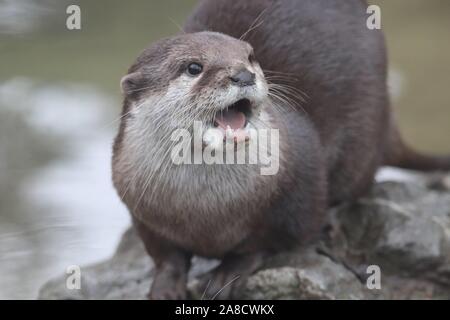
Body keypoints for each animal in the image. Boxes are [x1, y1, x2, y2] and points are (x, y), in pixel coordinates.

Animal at [111, 0, 446, 300]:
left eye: (250, 56)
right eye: (194, 67)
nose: (244, 74)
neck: (206, 208)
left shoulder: (298, 192)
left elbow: (268, 241)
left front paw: (228, 272)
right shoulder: (141, 210)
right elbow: (165, 255)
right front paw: (166, 285)